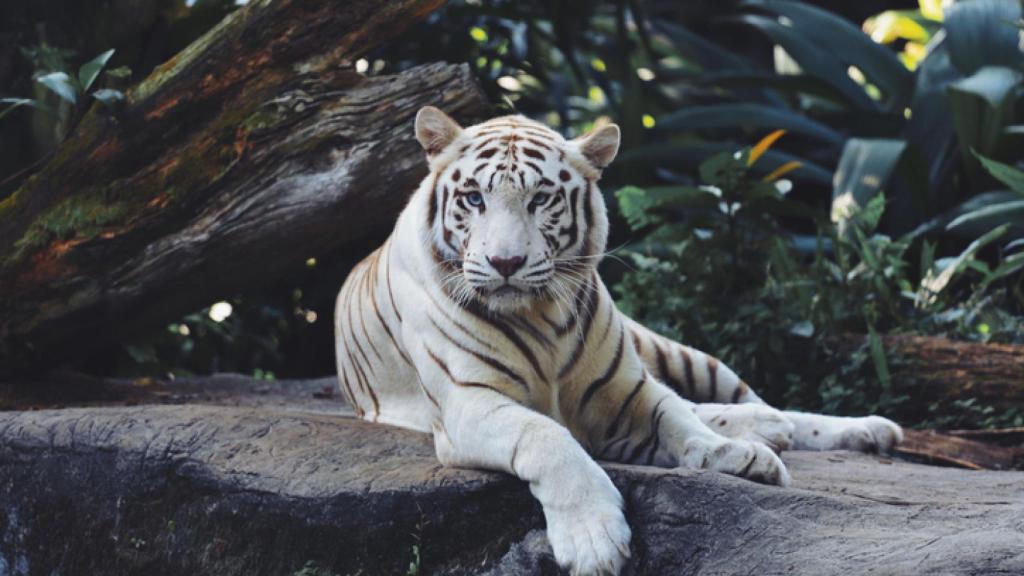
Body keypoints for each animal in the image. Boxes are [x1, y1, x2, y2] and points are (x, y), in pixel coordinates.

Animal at [334, 106, 903, 576]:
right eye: (474, 199)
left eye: (540, 199)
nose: (506, 263)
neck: (540, 317)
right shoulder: (468, 403)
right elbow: (547, 436)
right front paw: (593, 541)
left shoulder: (626, 389)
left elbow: (676, 419)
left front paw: (728, 455)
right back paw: (768, 430)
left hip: (678, 353)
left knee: (746, 403)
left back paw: (850, 429)